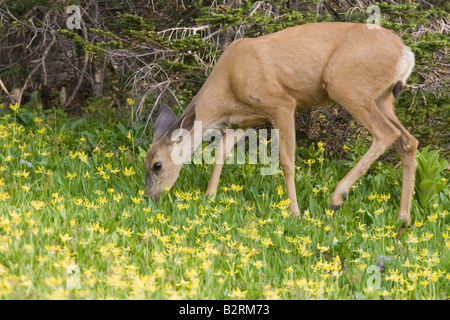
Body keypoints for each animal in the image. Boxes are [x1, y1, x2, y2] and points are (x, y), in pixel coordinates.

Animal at [145, 21, 418, 228]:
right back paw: (403, 219)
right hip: (382, 98)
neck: (228, 86)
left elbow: (286, 162)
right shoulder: (243, 120)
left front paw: (294, 213)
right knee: (408, 141)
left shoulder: (282, 104)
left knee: (387, 133)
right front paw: (209, 198)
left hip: (348, 86)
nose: (149, 197)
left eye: (157, 165)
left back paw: (337, 197)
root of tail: (406, 53)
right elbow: (221, 154)